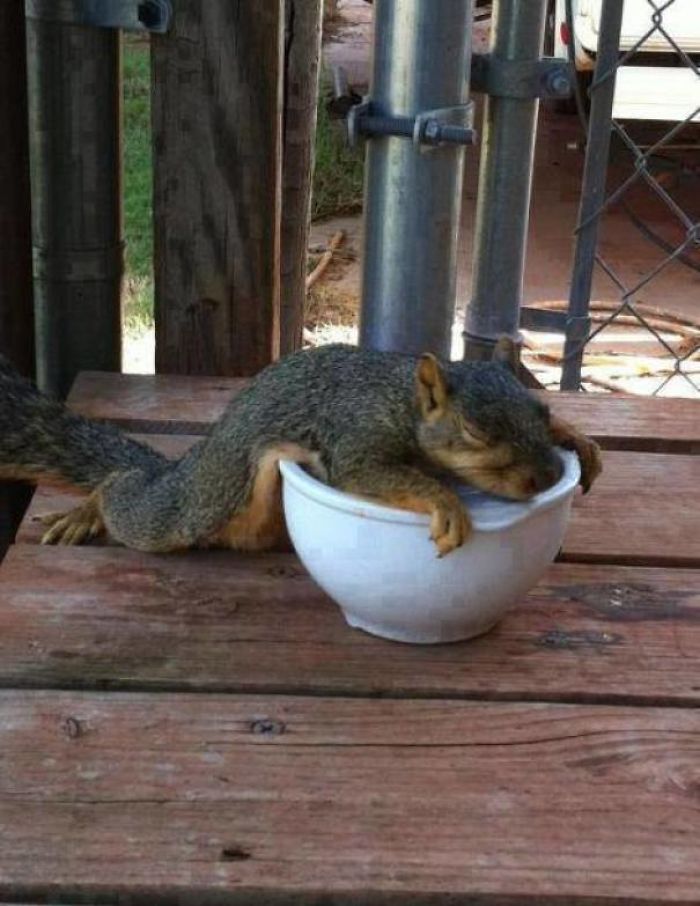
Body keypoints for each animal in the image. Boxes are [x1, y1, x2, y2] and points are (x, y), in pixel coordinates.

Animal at [0, 341, 601, 557]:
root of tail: (184, 466)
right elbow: (380, 474)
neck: (399, 399)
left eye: (539, 411)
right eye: (476, 431)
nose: (547, 477)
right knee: (124, 493)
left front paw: (578, 438)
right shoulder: (354, 436)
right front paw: (447, 502)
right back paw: (90, 509)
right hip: (189, 507)